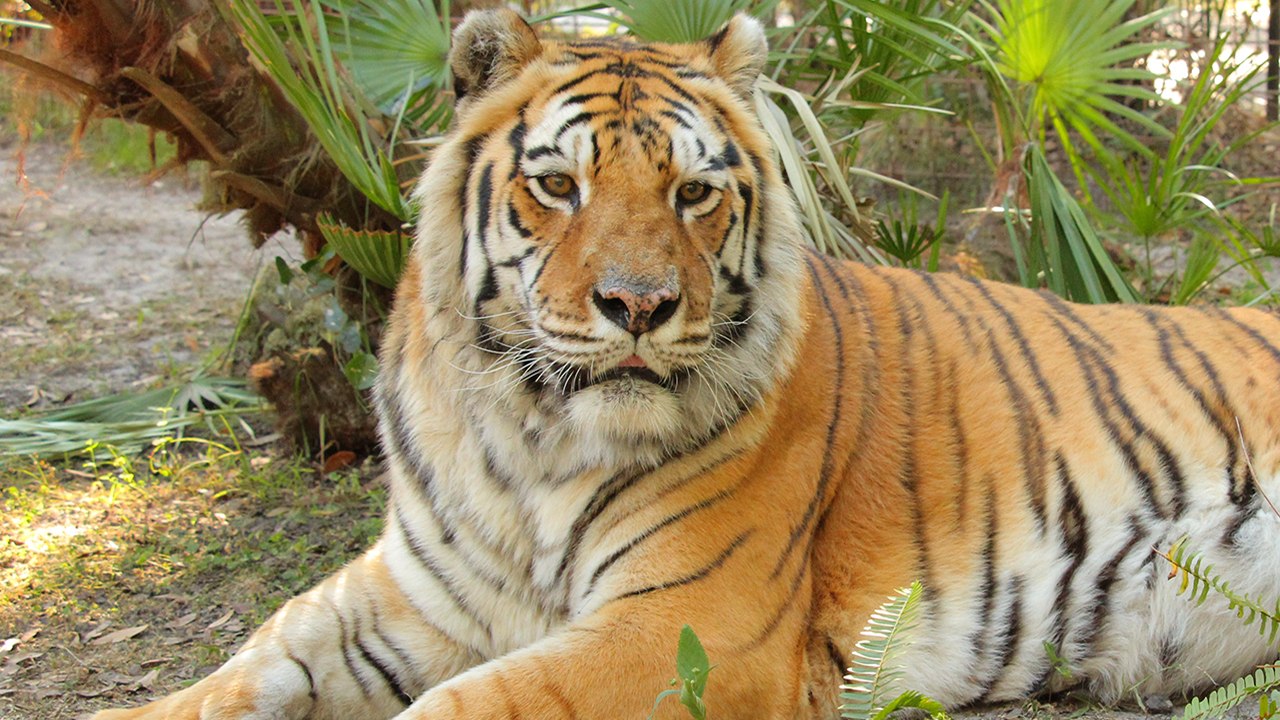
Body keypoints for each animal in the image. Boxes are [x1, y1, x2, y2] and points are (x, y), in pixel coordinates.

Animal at [93, 9, 1280, 720]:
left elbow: (456, 705)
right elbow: (248, 660)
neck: (520, 441)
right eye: (558, 185)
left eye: (693, 193)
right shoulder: (411, 593)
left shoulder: (687, 626)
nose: (637, 306)